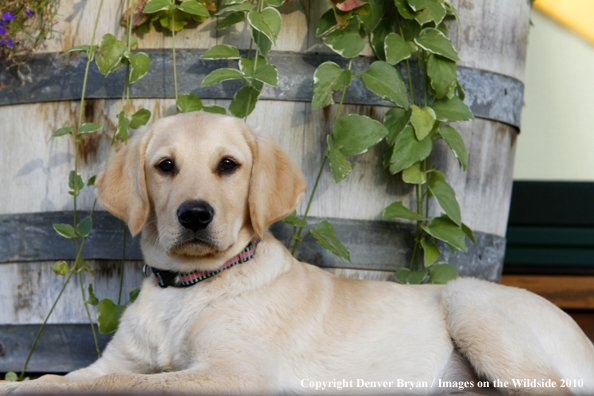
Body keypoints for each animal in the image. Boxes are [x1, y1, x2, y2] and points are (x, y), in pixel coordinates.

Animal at [1, 113, 592, 394]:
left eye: (229, 166)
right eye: (165, 166)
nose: (194, 215)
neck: (190, 287)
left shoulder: (234, 374)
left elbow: (126, 385)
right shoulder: (117, 360)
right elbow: (76, 378)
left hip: (471, 303)